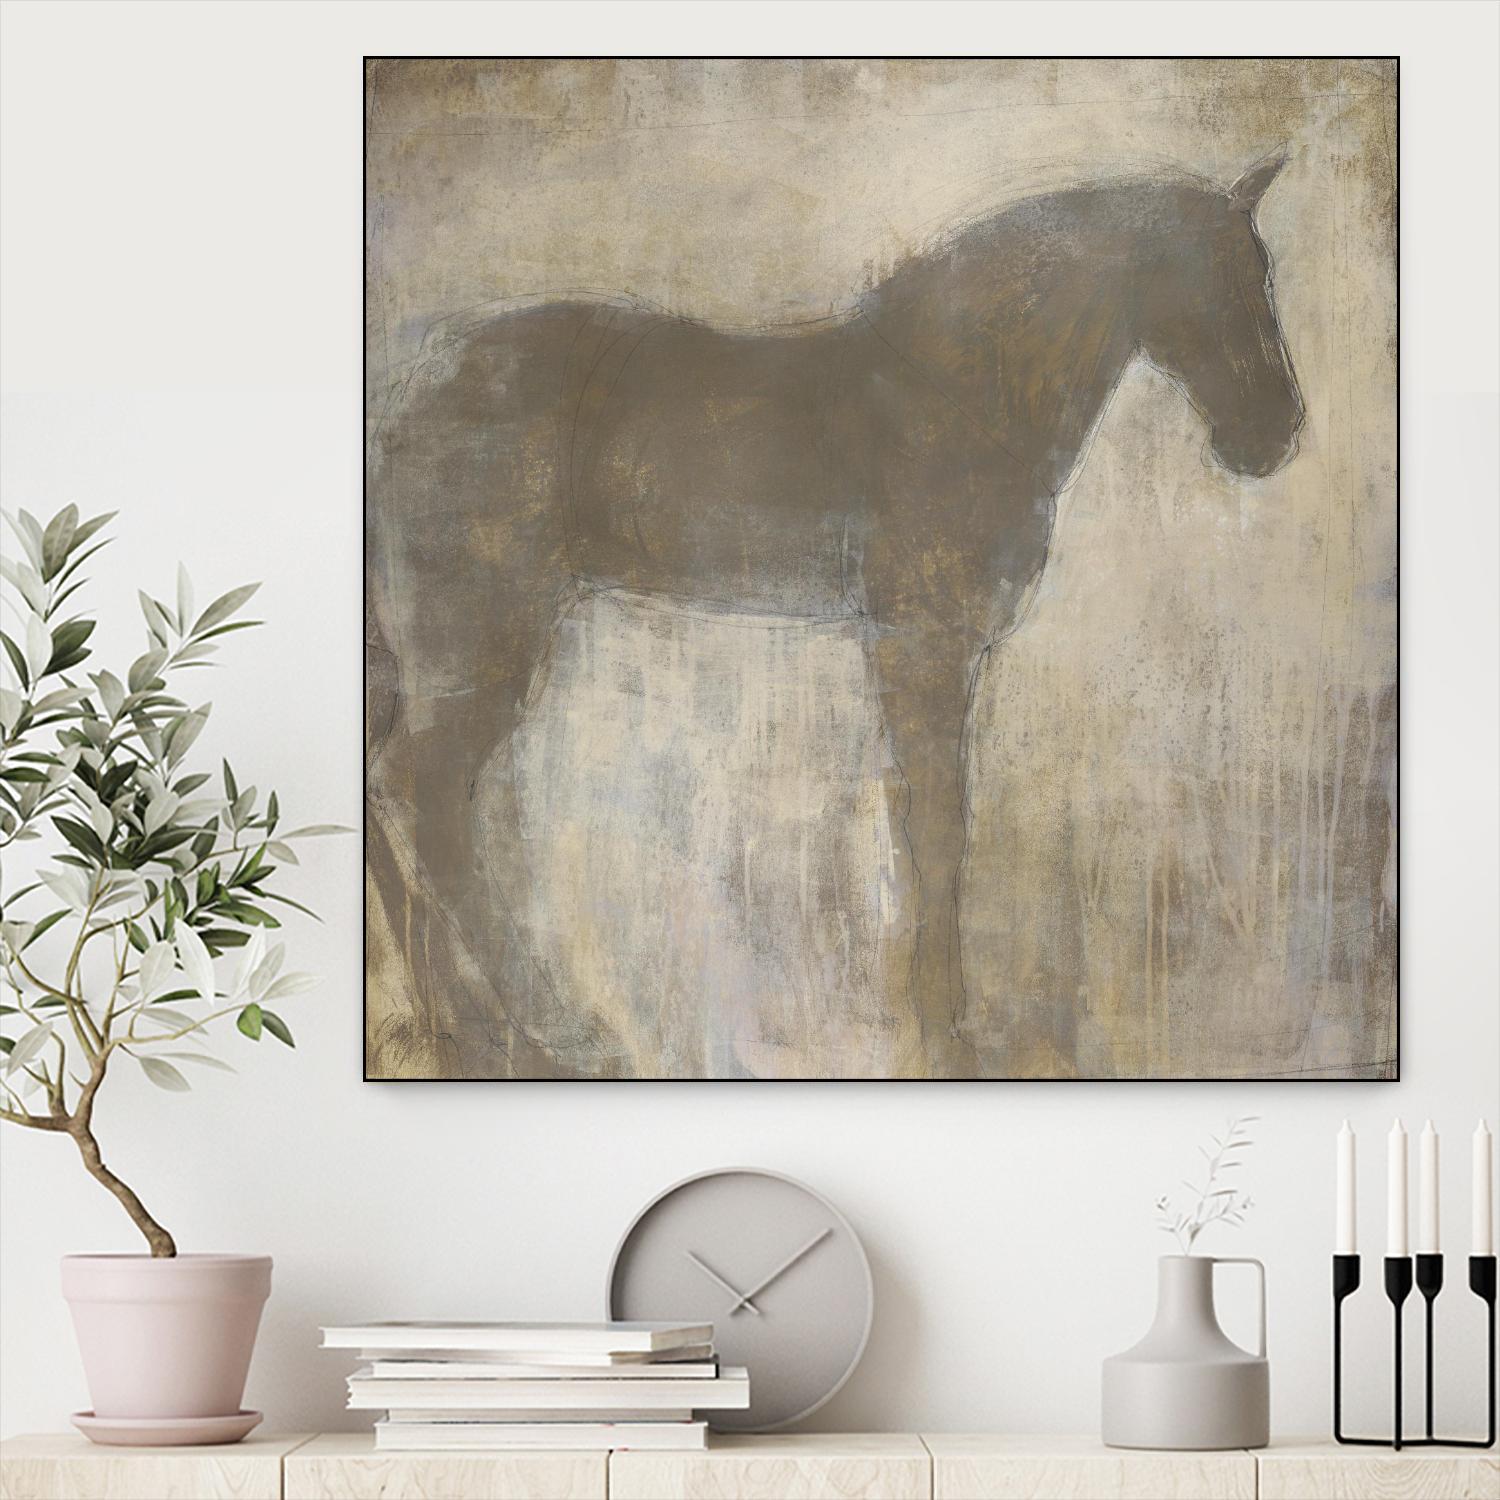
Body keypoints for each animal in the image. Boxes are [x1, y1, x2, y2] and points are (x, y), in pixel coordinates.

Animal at [365, 149, 1305, 1078]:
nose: (1276, 432)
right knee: (424, 791)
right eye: (1223, 278)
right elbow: (936, 829)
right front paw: (944, 1036)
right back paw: (551, 1028)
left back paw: (454, 1024)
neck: (958, 387)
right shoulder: (922, 646)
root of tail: (413, 395)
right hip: (482, 638)